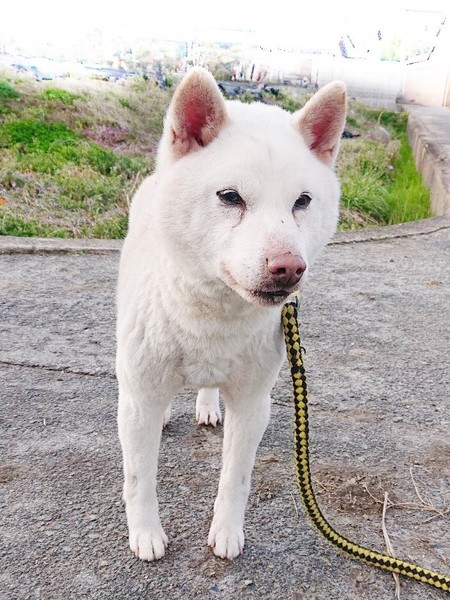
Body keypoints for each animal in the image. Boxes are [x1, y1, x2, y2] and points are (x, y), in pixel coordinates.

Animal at [116, 67, 346, 561]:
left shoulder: (252, 403)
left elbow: (235, 479)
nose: (289, 268)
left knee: (207, 388)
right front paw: (145, 534)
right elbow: (140, 478)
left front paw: (226, 531)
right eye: (229, 196)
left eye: (302, 201)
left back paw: (206, 405)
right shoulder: (138, 398)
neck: (213, 315)